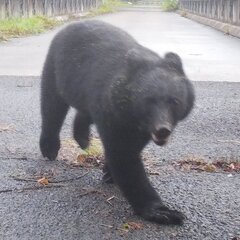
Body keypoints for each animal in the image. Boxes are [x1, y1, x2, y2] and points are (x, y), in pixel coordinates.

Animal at [40, 20, 195, 225]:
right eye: (148, 101)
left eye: (174, 101)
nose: (162, 130)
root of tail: (70, 25)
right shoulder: (112, 112)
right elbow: (124, 155)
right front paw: (163, 211)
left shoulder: (137, 125)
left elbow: (131, 148)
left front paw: (108, 173)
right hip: (56, 69)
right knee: (52, 106)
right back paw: (50, 147)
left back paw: (82, 138)